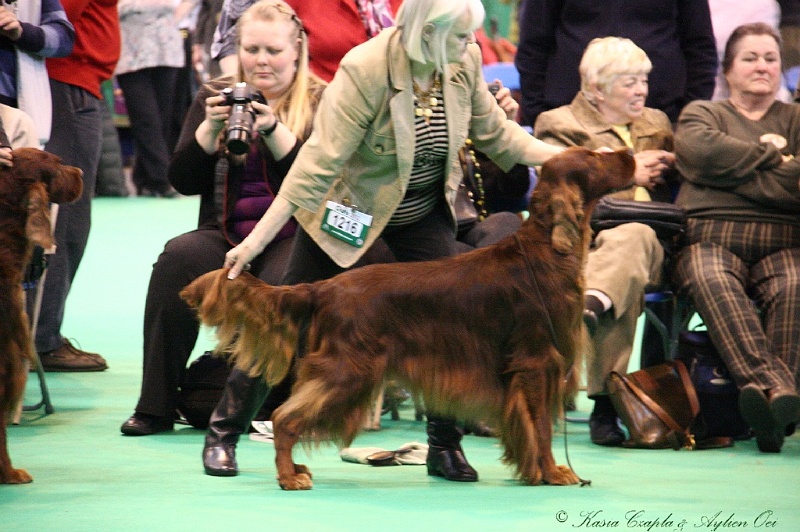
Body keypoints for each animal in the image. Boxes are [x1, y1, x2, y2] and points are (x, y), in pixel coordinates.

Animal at [183, 145, 636, 490]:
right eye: (594, 156)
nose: (630, 153)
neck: (547, 249)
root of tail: (325, 287)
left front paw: (540, 472)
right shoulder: (537, 362)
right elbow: (540, 427)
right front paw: (553, 473)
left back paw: (294, 470)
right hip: (349, 371)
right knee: (284, 417)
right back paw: (288, 477)